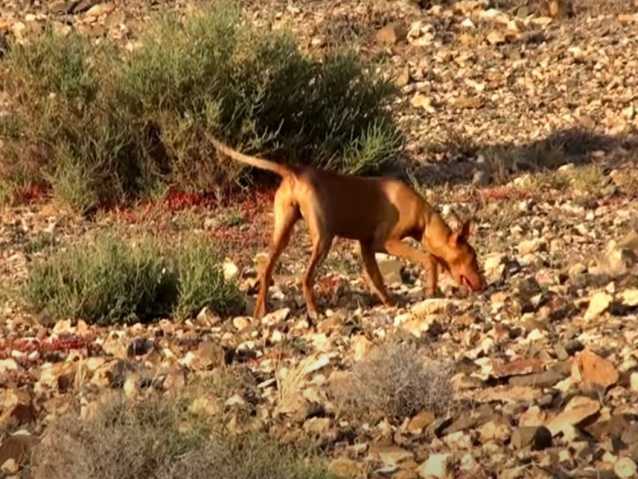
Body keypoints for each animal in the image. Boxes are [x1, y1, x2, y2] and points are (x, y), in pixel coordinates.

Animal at [209, 136, 485, 319]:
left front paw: (390, 302)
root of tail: (295, 172)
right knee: (306, 277)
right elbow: (430, 258)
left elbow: (377, 279)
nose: (483, 284)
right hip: (324, 238)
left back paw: (261, 311)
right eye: (472, 258)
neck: (424, 218)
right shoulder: (386, 242)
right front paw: (431, 289)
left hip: (283, 231)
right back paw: (314, 311)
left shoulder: (366, 247)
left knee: (266, 270)